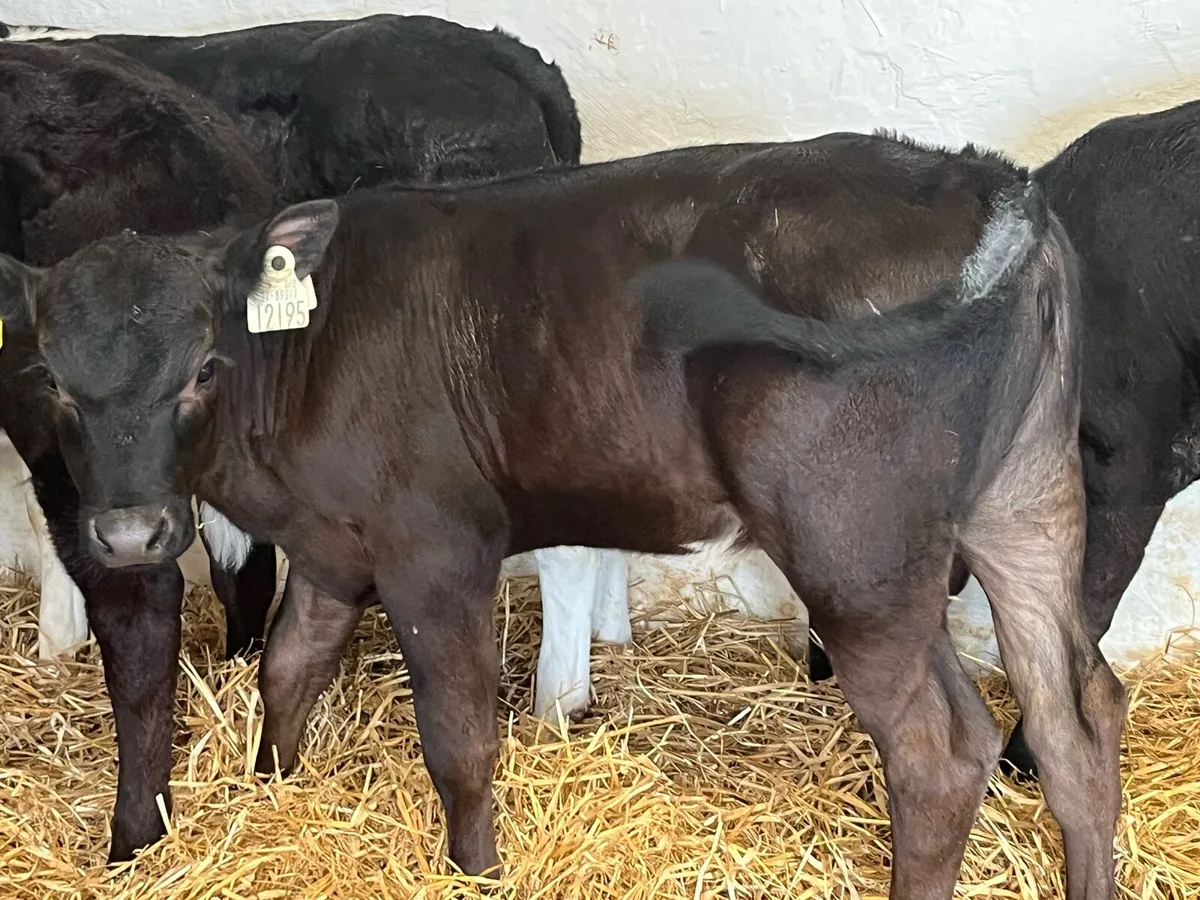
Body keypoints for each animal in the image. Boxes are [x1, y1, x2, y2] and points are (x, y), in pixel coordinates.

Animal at [0, 134, 1125, 900]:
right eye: (49, 376)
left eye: (202, 365)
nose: (130, 536)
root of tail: (993, 183)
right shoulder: (331, 543)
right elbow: (291, 665)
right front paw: (274, 792)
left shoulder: (435, 547)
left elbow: (459, 737)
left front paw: (474, 870)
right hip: (1021, 507)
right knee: (1075, 712)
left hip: (856, 548)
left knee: (941, 753)